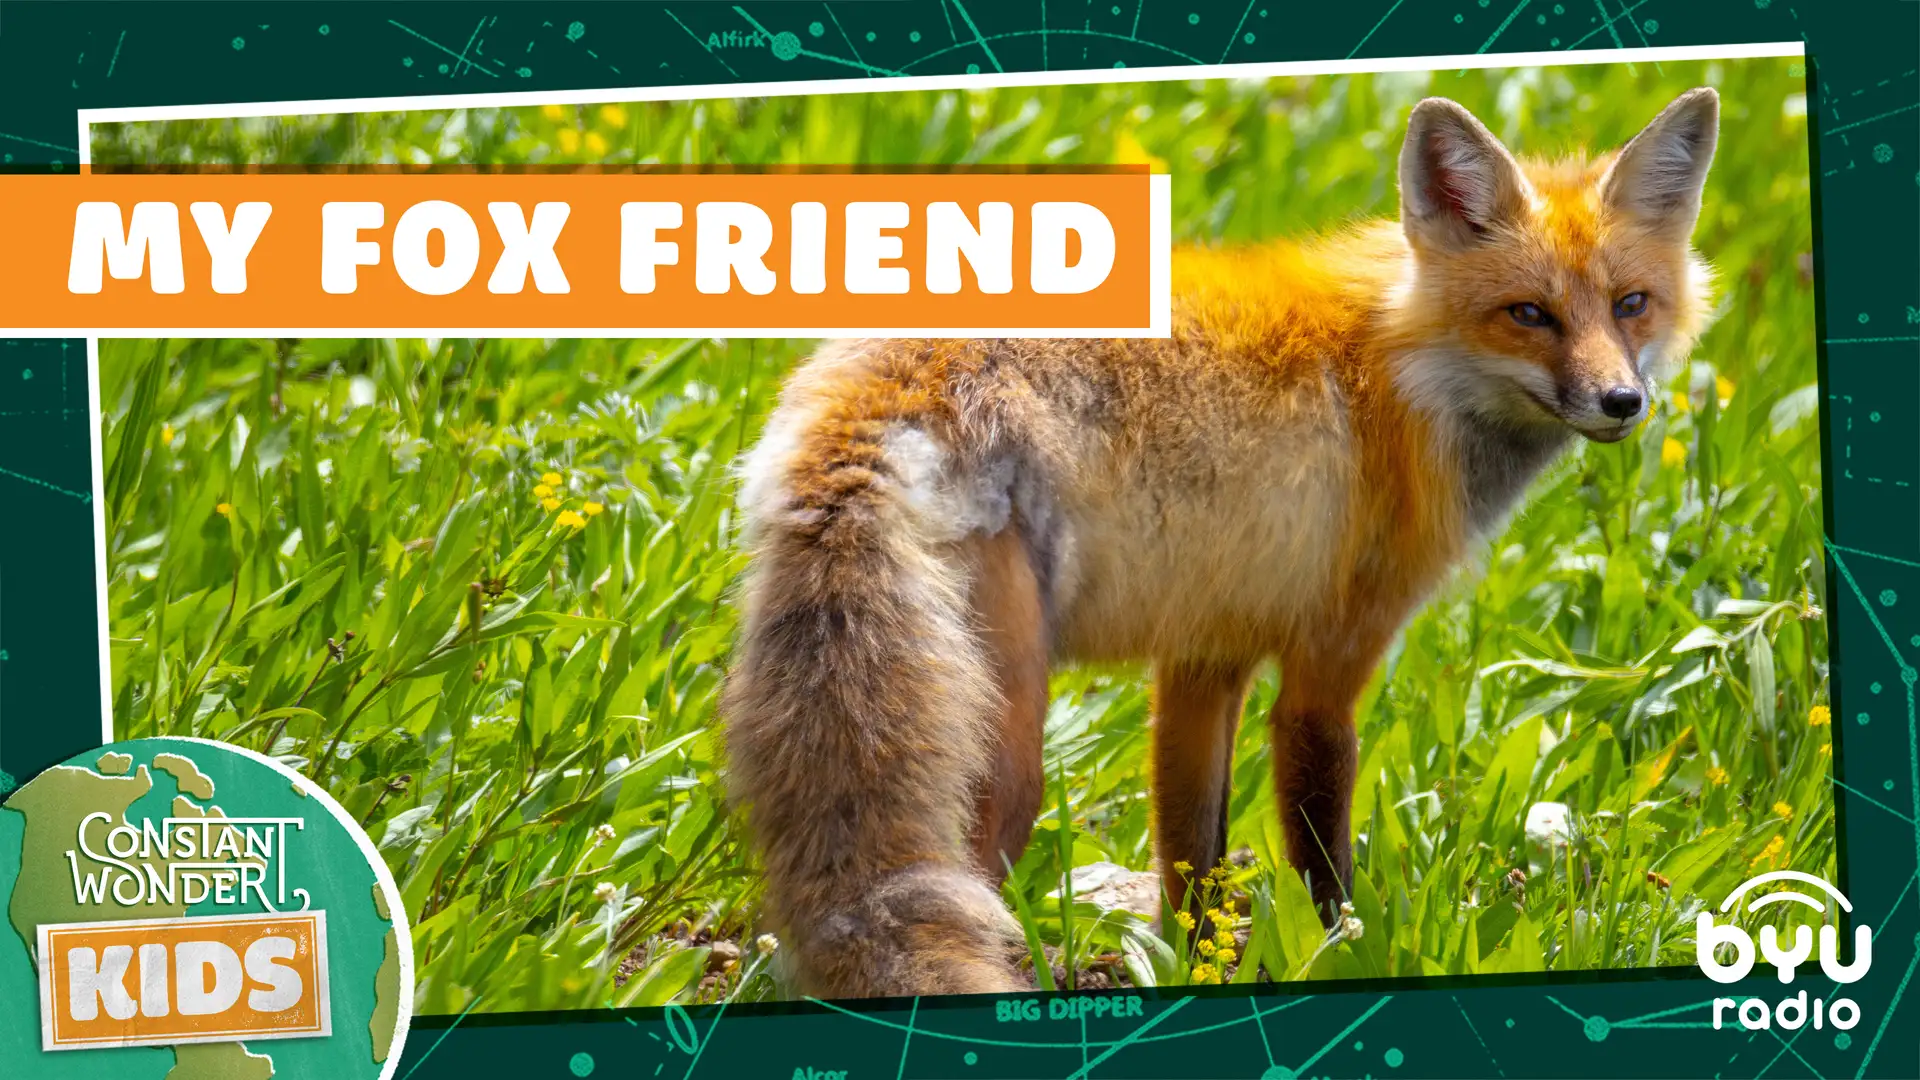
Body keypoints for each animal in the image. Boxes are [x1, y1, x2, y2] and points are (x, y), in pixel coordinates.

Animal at [721, 87, 1720, 998]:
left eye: (1631, 305)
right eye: (1529, 315)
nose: (1623, 403)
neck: (1404, 374)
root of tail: (874, 396)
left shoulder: (1207, 652)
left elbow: (1192, 862)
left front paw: (1193, 967)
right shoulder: (1329, 662)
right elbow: (1320, 858)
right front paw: (1336, 954)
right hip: (1002, 755)